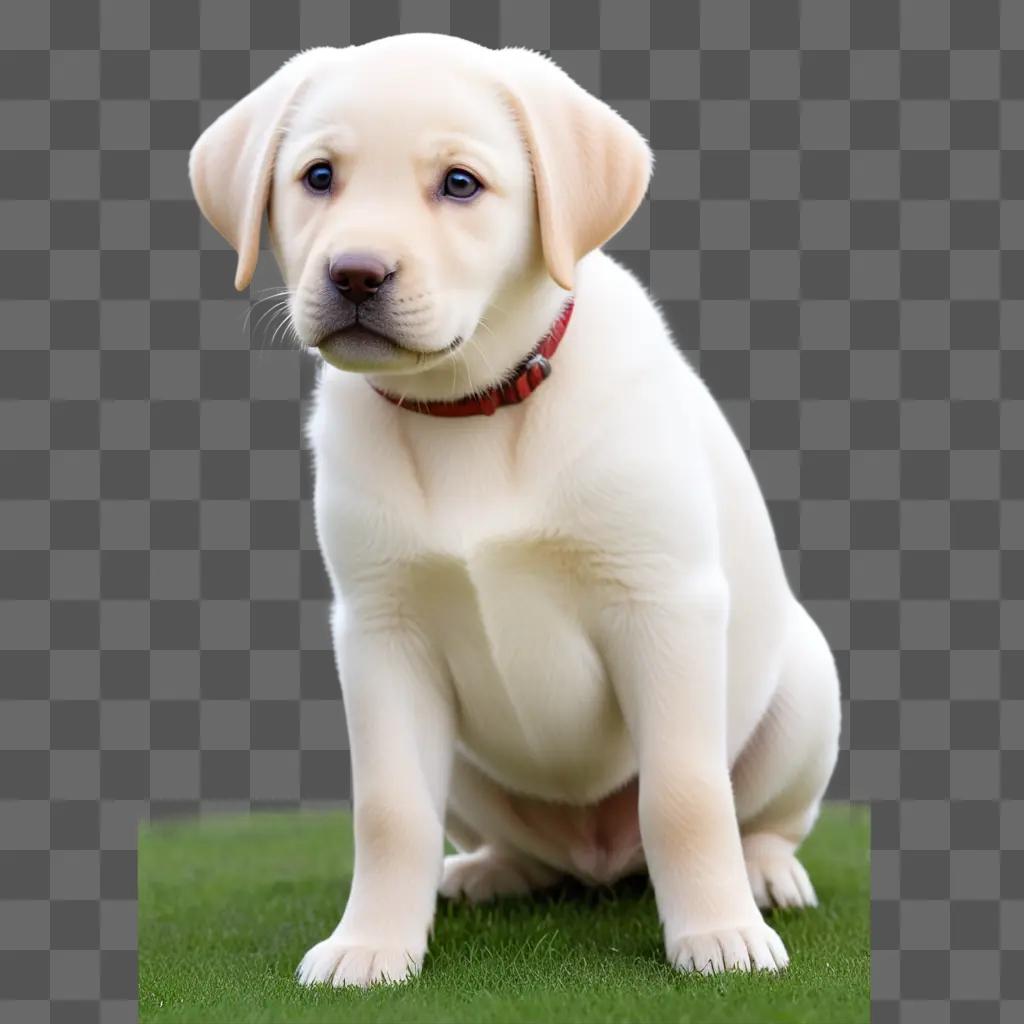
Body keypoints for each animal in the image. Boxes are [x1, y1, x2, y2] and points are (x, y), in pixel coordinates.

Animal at [190, 36, 839, 987]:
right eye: (318, 176)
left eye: (460, 184)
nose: (355, 273)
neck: (470, 411)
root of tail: (599, 856)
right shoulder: (381, 633)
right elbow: (389, 810)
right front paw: (369, 945)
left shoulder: (664, 606)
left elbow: (686, 795)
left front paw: (717, 937)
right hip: (469, 771)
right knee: (516, 846)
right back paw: (487, 870)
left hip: (804, 691)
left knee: (753, 814)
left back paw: (762, 874)